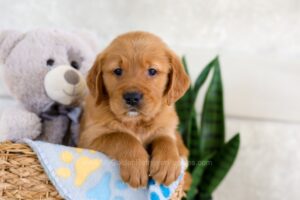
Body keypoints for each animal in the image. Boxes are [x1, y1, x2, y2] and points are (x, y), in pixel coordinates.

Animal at [78, 32, 189, 188]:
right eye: (118, 71)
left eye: (152, 71)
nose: (132, 97)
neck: (136, 122)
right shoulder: (88, 139)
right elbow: (122, 136)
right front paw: (136, 166)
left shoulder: (166, 128)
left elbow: (166, 139)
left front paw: (167, 164)